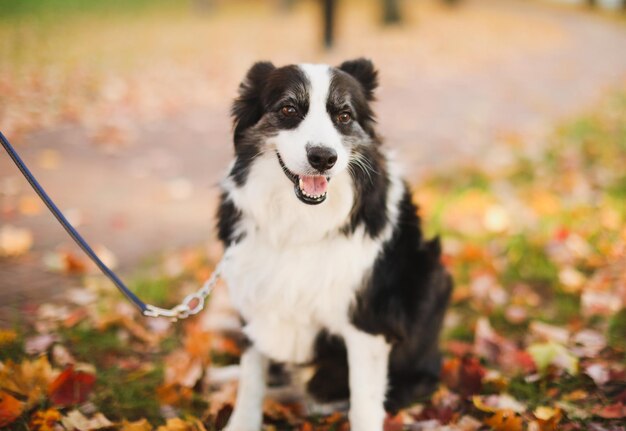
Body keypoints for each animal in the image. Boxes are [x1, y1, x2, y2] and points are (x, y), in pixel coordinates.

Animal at [217, 58, 450, 431]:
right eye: (288, 109)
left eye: (343, 115)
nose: (323, 158)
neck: (299, 222)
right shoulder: (254, 300)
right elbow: (252, 377)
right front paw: (241, 422)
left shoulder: (367, 322)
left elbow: (364, 403)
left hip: (435, 275)